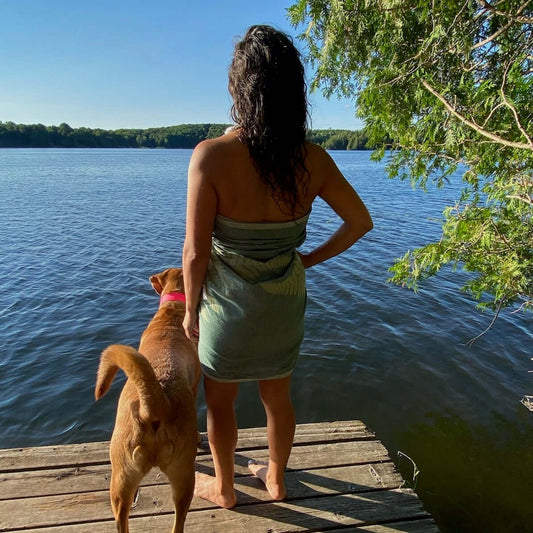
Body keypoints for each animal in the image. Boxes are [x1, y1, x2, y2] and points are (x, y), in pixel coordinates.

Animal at [94, 268, 201, 532]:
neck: (173, 309)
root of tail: (154, 403)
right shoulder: (195, 384)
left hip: (122, 478)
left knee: (121, 516)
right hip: (184, 473)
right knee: (179, 519)